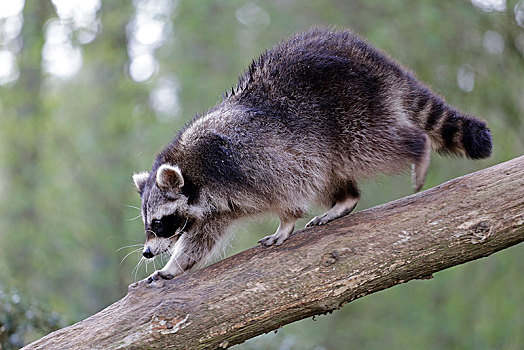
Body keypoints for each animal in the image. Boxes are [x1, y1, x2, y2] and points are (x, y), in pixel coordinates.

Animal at [131, 28, 492, 284]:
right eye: (149, 224)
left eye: (159, 223)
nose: (147, 252)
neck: (192, 172)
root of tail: (371, 57)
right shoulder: (217, 208)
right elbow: (200, 240)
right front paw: (174, 266)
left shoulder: (240, 162)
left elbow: (285, 194)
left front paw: (286, 222)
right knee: (328, 171)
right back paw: (345, 198)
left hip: (352, 111)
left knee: (371, 146)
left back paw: (417, 148)